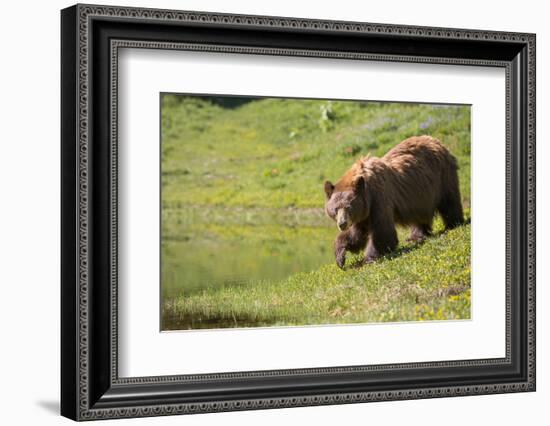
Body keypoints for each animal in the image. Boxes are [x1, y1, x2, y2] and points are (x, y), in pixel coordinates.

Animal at [326, 136, 464, 268]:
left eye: (349, 207)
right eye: (335, 209)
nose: (342, 224)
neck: (368, 191)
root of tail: (435, 141)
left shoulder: (380, 199)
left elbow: (382, 231)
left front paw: (370, 258)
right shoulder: (364, 212)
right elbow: (357, 234)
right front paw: (340, 256)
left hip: (442, 176)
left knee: (449, 201)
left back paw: (453, 224)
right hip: (420, 193)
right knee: (420, 214)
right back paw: (416, 236)